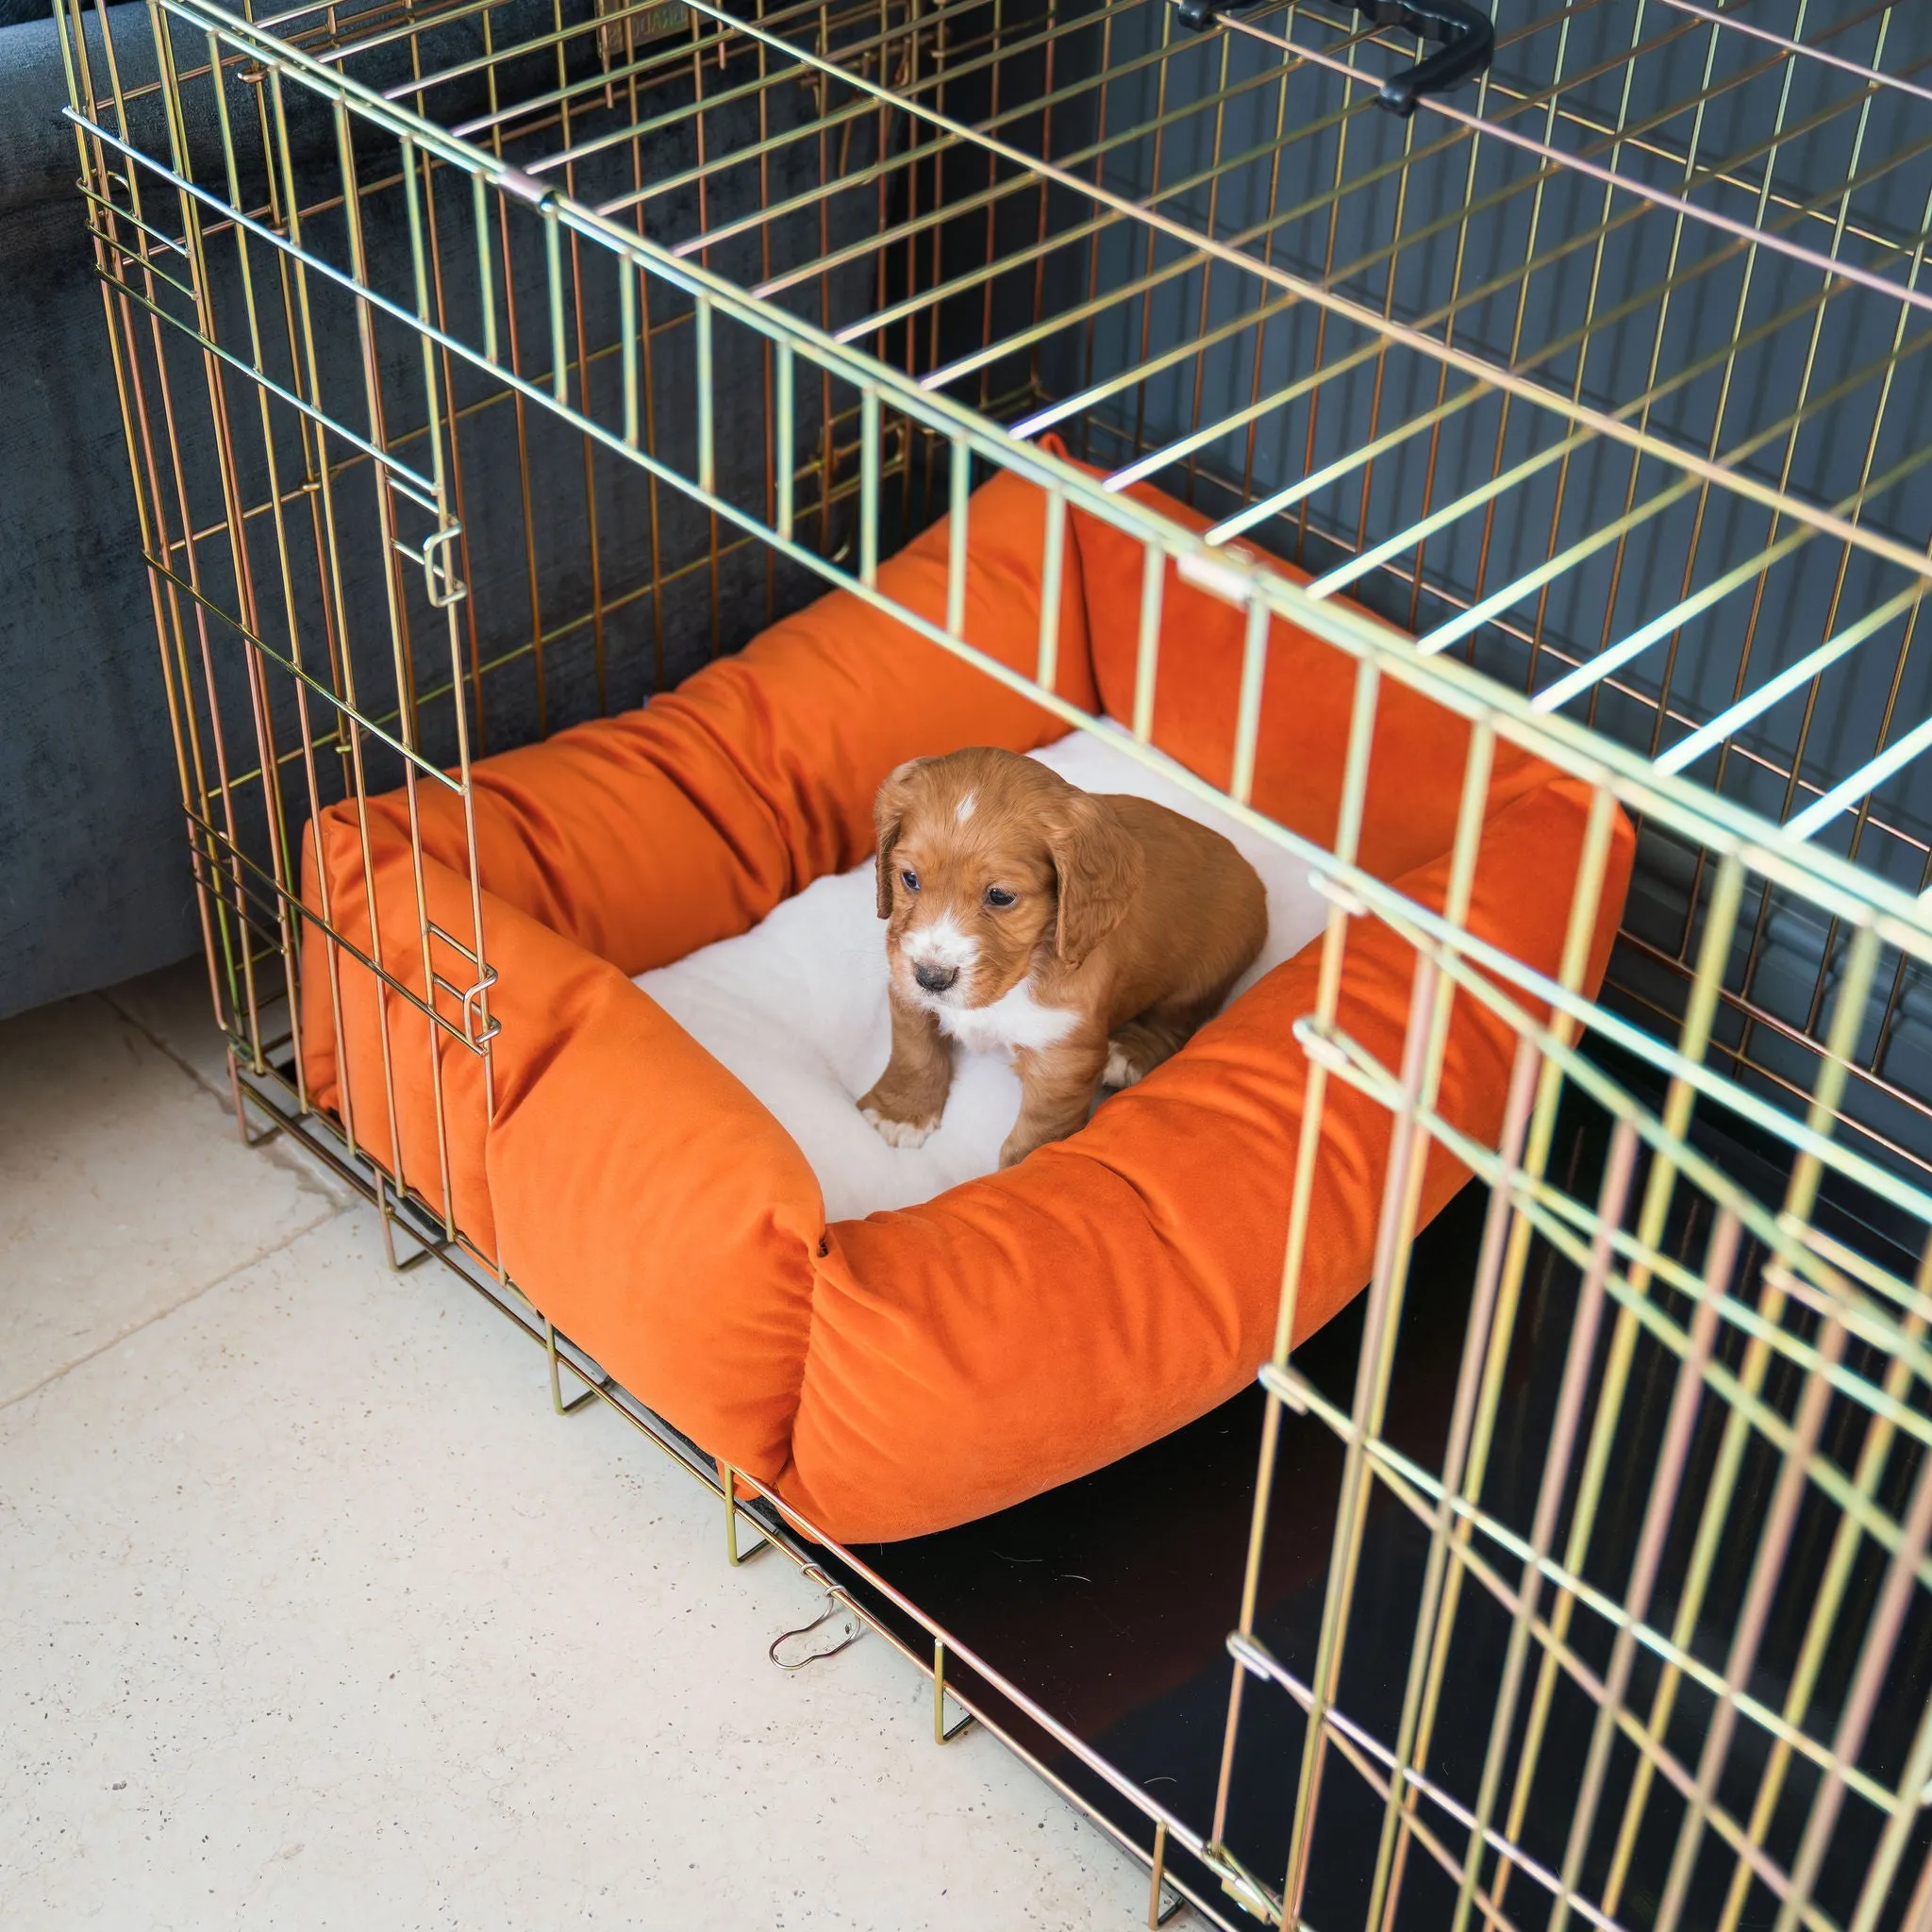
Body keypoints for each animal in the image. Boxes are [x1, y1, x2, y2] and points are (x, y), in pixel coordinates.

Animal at [858, 745, 1267, 1166]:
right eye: (909, 878)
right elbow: (914, 1049)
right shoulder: (905, 984)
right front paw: (900, 1112)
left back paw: (1129, 1053)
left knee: (1175, 1021)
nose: (931, 977)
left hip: (1204, 973)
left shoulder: (1064, 1056)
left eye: (1000, 896)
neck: (1021, 972)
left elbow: (1039, 1130)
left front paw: (1027, 1171)